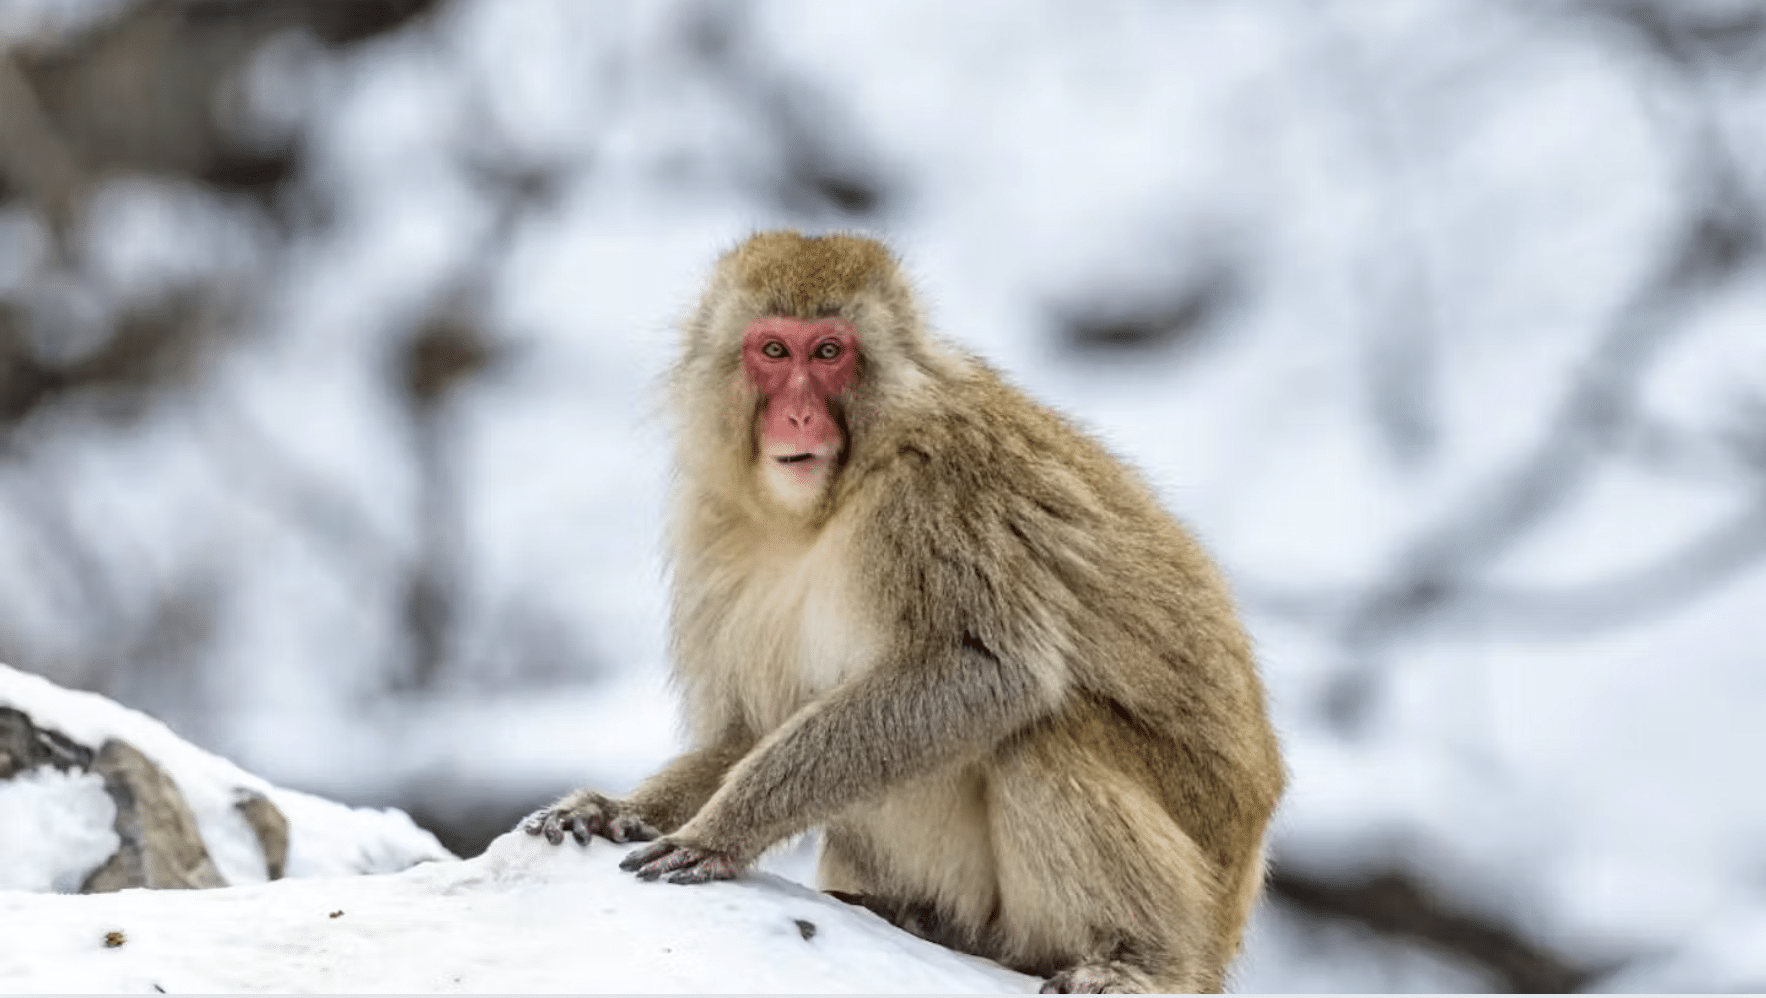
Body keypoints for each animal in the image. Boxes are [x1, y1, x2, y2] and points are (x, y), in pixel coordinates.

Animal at [525, 231, 1285, 993]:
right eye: (773, 350)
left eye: (829, 352)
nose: (797, 415)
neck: (824, 506)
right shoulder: (716, 523)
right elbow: (754, 724)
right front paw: (622, 811)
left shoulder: (937, 492)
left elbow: (984, 671)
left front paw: (721, 832)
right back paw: (911, 914)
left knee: (1045, 733)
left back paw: (1134, 959)